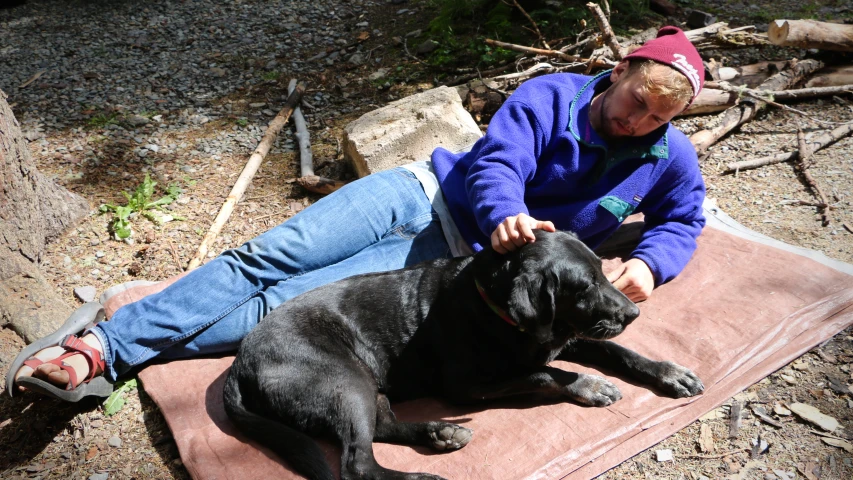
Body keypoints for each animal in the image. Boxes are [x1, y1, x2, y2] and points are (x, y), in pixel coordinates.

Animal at [223, 231, 704, 478]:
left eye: (604, 271)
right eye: (583, 286)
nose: (634, 312)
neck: (497, 309)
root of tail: (238, 362)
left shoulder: (569, 335)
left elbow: (618, 350)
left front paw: (668, 372)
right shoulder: (467, 387)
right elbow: (547, 376)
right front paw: (588, 385)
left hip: (366, 385)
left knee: (380, 429)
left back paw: (440, 433)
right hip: (344, 381)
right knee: (357, 463)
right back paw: (424, 476)